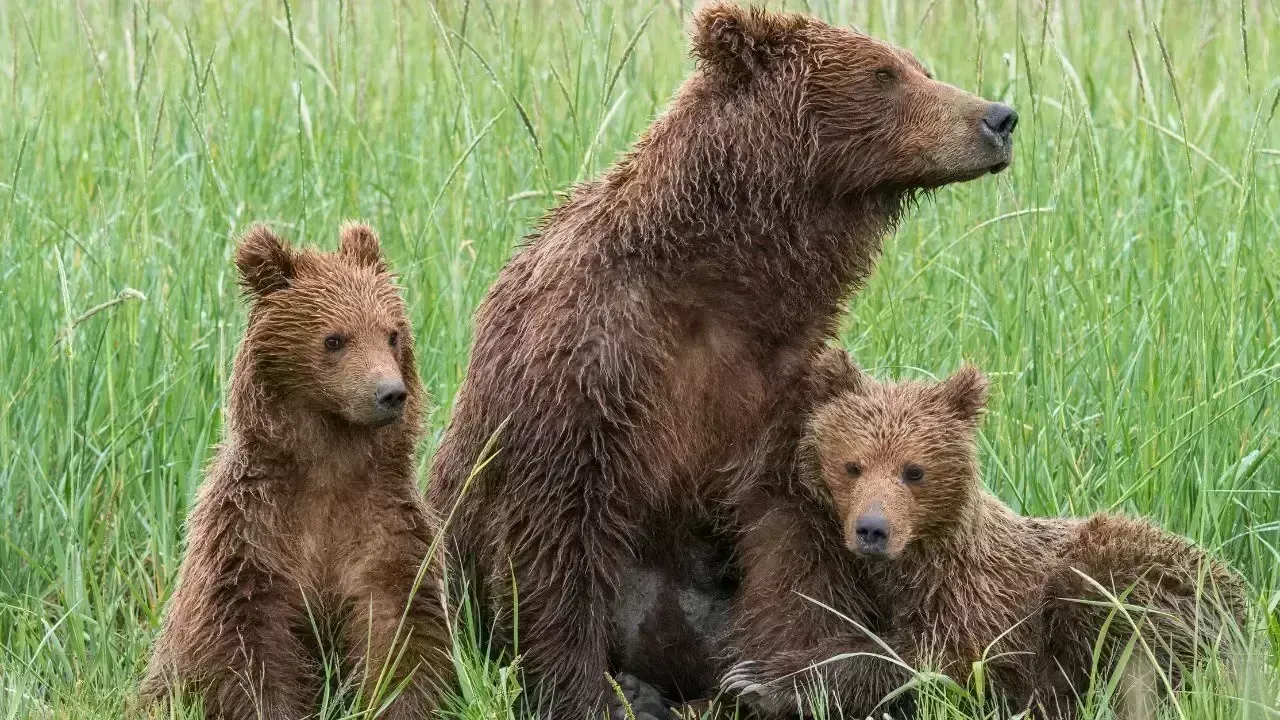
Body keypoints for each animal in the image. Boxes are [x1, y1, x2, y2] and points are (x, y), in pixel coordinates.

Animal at [141, 224, 453, 720]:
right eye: (334, 339)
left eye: (392, 334)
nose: (390, 393)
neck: (329, 463)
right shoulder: (252, 534)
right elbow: (249, 643)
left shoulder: (384, 526)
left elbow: (400, 628)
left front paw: (396, 700)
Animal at [426, 1, 1018, 716]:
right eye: (886, 74)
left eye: (919, 67)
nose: (999, 117)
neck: (722, 282)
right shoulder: (586, 361)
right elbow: (555, 532)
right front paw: (592, 691)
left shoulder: (777, 389)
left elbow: (789, 545)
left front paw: (779, 681)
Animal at [722, 364, 1247, 719]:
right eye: (853, 465)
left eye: (914, 470)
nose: (872, 528)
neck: (915, 565)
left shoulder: (983, 599)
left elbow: (937, 660)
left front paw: (764, 680)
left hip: (1142, 579)